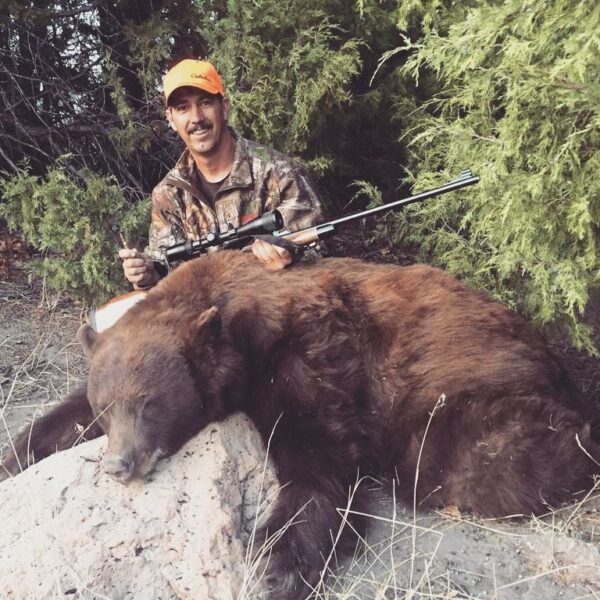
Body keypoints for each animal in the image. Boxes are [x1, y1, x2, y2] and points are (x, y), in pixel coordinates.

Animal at [1, 251, 600, 596]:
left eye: (150, 403)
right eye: (110, 406)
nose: (119, 465)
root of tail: (549, 353)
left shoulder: (309, 348)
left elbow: (321, 454)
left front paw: (276, 562)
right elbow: (62, 415)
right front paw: (15, 455)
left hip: (466, 385)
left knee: (480, 459)